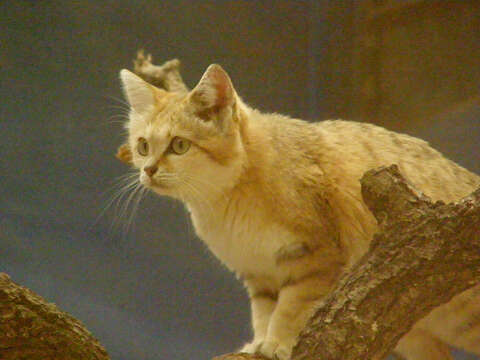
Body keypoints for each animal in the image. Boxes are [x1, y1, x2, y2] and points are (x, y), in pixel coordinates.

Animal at [115, 62, 480, 360]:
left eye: (179, 145)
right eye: (142, 146)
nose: (147, 170)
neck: (227, 199)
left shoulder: (316, 256)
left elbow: (291, 307)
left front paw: (278, 342)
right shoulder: (258, 274)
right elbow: (263, 312)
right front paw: (259, 342)